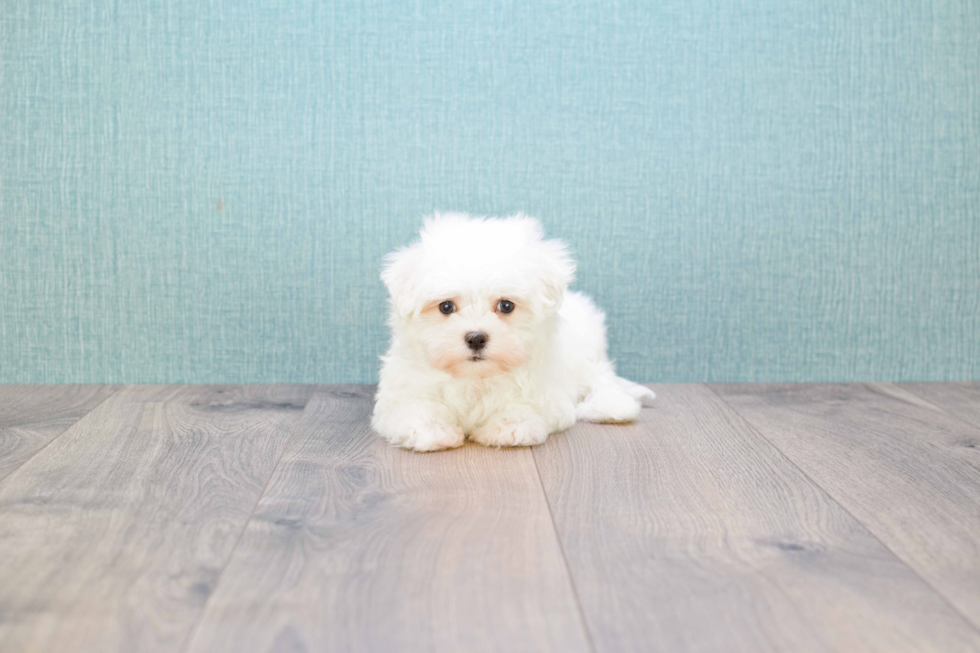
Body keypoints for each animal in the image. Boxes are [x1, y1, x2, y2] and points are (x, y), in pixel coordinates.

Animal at [372, 211, 656, 450]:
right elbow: (415, 407)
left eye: (506, 305)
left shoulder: (547, 394)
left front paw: (508, 427)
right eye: (446, 306)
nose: (476, 338)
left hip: (587, 358)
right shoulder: (403, 388)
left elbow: (524, 407)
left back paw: (613, 407)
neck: (475, 379)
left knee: (602, 379)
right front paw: (430, 429)